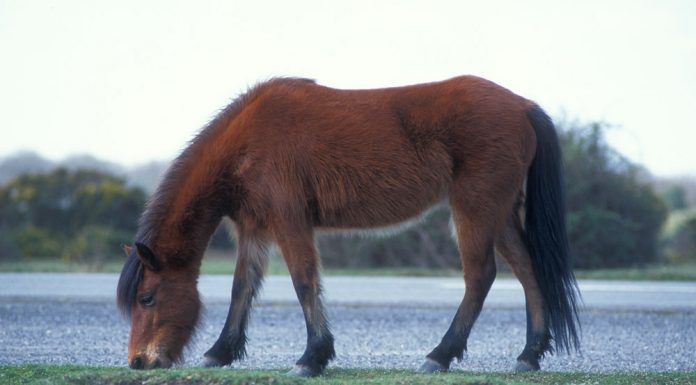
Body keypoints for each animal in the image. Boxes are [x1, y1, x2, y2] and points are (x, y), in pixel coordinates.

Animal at [117, 75, 580, 376]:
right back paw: (528, 355)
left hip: (475, 209)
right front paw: (221, 352)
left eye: (146, 298)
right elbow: (241, 290)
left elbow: (304, 283)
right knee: (529, 272)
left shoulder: (290, 222)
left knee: (480, 277)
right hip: (500, 215)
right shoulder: (253, 229)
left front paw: (312, 358)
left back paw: (439, 355)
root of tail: (522, 105)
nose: (138, 362)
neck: (249, 140)